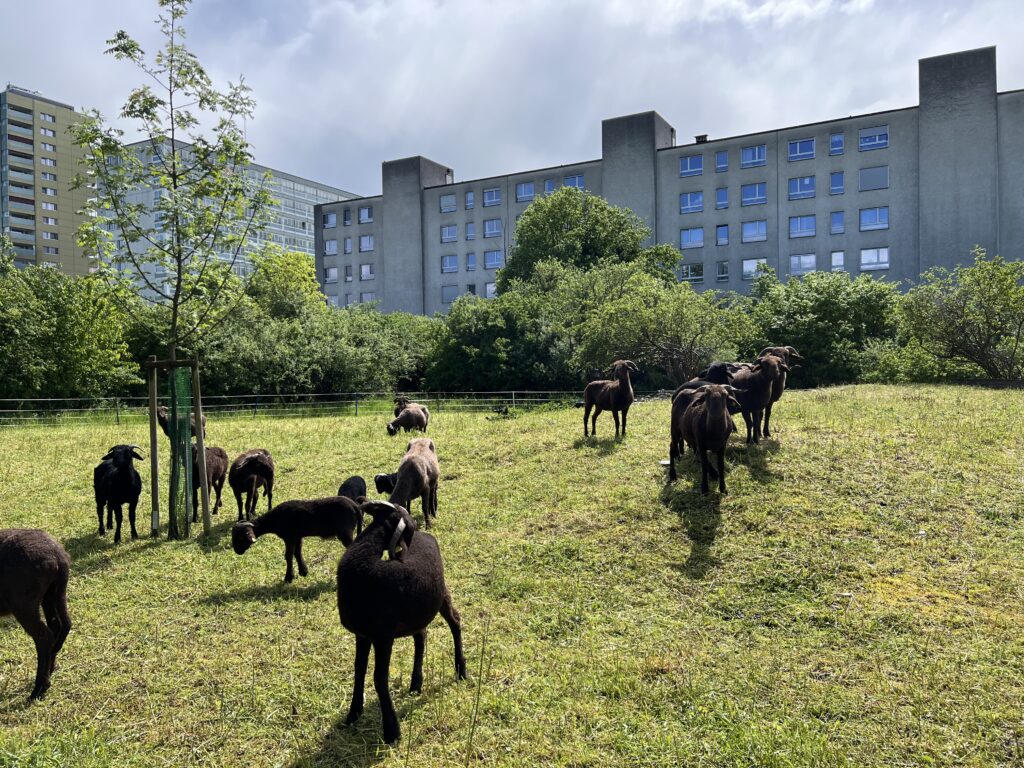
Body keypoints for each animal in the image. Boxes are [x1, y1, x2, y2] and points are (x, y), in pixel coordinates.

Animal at [0, 528, 72, 704]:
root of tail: (57, 554)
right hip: (52, 593)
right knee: (60, 626)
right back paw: (50, 671)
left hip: (23, 602)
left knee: (44, 637)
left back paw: (39, 689)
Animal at [232, 499, 364, 581]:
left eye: (240, 537)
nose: (237, 551)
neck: (273, 520)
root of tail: (355, 506)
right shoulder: (298, 536)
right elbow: (297, 553)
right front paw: (303, 572)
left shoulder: (289, 536)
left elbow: (288, 555)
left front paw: (288, 578)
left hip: (345, 532)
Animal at [339, 499, 468, 745]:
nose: (414, 533)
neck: (364, 561)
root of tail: (428, 536)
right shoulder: (362, 634)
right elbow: (359, 669)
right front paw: (353, 714)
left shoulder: (382, 637)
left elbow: (379, 679)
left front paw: (392, 731)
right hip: (418, 613)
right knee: (421, 635)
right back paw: (416, 683)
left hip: (440, 595)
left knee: (455, 622)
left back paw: (461, 670)